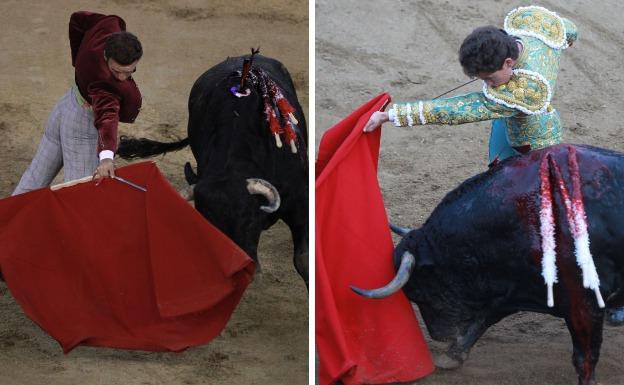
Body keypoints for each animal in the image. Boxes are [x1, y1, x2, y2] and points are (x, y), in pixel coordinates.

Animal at [354, 144, 624, 384]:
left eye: (419, 291)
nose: (439, 335)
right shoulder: (517, 287)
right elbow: (486, 317)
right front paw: (451, 356)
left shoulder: (584, 301)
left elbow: (585, 357)